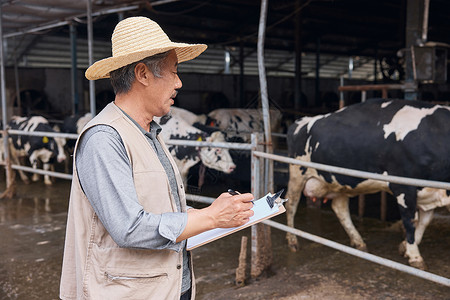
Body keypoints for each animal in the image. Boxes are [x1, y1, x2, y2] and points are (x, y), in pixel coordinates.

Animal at [286, 98, 448, 270]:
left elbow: (424, 222)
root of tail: (301, 121)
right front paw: (414, 256)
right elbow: (410, 221)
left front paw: (405, 247)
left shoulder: (431, 192)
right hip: (297, 174)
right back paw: (292, 241)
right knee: (291, 205)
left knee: (340, 208)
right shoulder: (404, 188)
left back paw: (359, 242)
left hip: (339, 181)